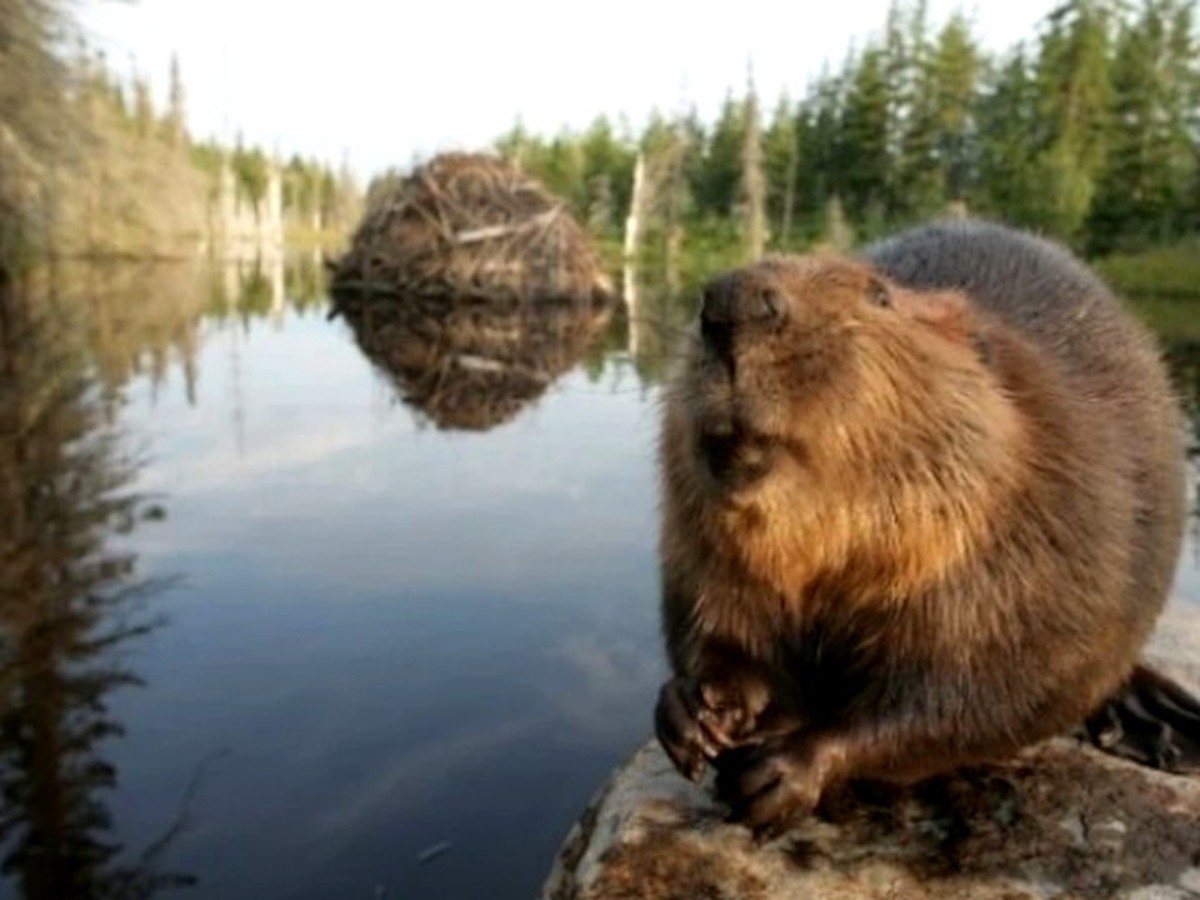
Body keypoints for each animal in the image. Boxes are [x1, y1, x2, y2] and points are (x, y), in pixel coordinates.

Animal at [657, 222, 1200, 844]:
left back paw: (1161, 726)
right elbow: (717, 625)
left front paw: (783, 773)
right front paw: (695, 711)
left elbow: (981, 693)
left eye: (879, 295)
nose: (732, 302)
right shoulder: (703, 546)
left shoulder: (1039, 542)